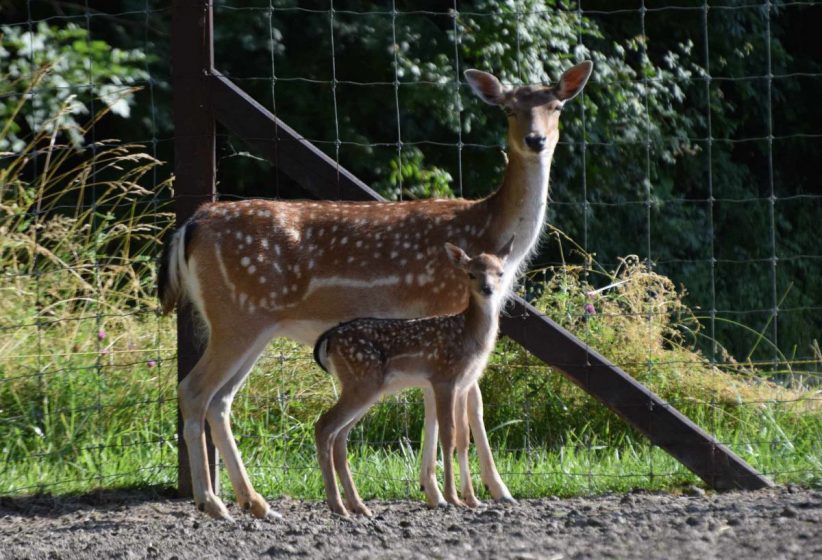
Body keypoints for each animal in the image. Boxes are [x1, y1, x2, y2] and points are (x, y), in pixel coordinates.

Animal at [316, 238, 516, 516]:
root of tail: (329, 339)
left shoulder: (464, 384)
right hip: (362, 381)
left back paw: (358, 506)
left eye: (500, 273)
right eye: (471, 273)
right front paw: (452, 498)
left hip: (363, 386)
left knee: (340, 435)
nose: (487, 289)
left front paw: (473, 500)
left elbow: (464, 438)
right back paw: (338, 506)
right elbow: (448, 435)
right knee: (324, 426)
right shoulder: (443, 377)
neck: (468, 336)